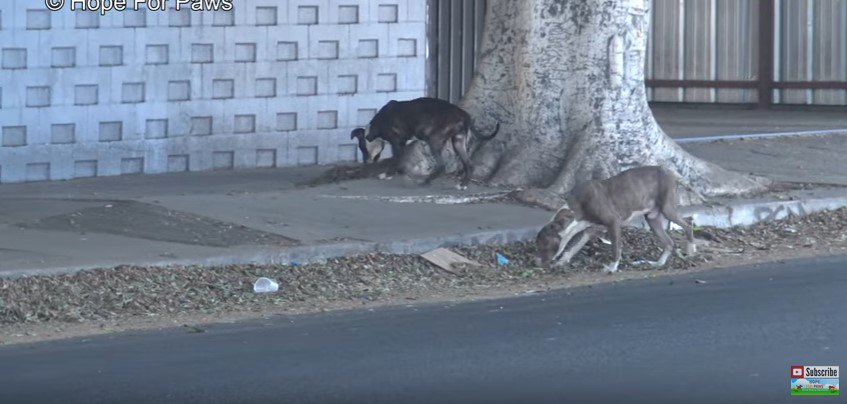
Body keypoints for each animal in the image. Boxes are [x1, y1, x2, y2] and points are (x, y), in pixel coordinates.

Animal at [362, 97, 500, 189]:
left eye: (364, 148)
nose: (366, 161)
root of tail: (464, 114)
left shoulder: (396, 143)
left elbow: (395, 159)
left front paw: (387, 174)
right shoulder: (401, 143)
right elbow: (399, 160)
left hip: (434, 141)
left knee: (442, 166)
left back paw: (426, 182)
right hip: (458, 142)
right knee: (469, 165)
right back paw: (463, 185)